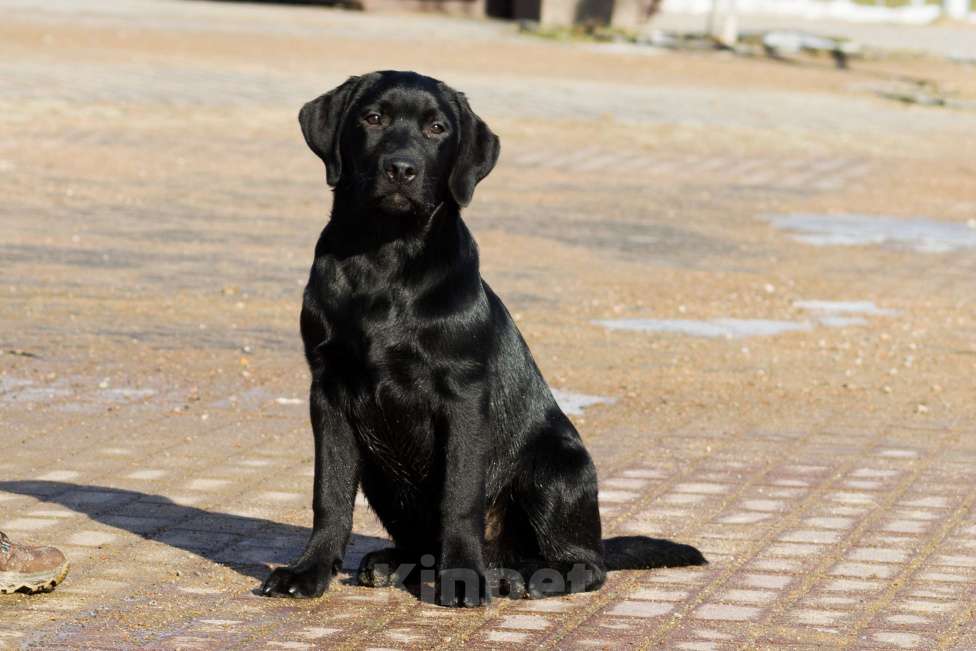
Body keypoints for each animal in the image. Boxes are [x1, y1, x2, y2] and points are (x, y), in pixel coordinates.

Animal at [260, 72, 700, 612]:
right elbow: (330, 492)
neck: (385, 259)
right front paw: (309, 571)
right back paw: (395, 563)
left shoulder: (463, 397)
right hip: (383, 473)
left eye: (436, 128)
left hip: (557, 467)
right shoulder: (328, 393)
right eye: (373, 118)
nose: (401, 169)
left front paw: (463, 578)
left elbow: (460, 496)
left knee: (585, 563)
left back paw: (523, 575)